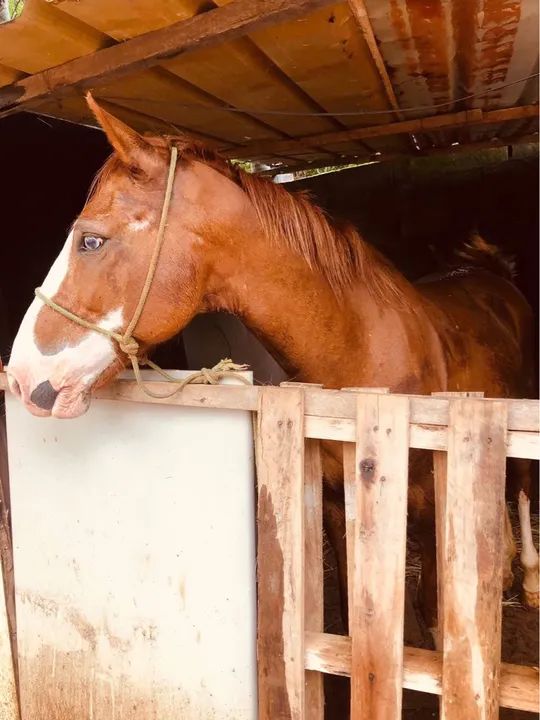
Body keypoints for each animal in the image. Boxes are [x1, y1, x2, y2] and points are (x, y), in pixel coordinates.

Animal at [7, 95, 539, 638]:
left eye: (90, 241)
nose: (22, 379)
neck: (362, 351)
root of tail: (491, 273)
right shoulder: (335, 505)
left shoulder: (433, 508)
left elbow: (431, 619)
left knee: (520, 485)